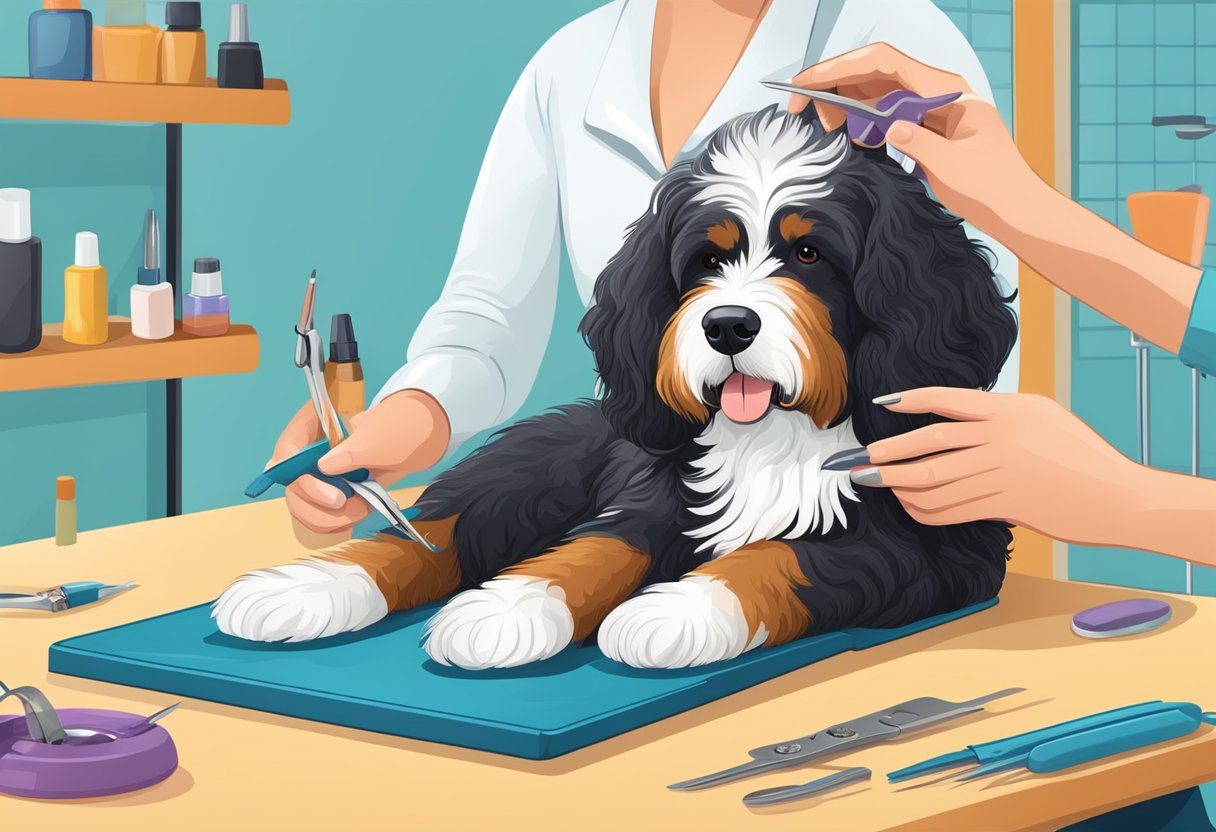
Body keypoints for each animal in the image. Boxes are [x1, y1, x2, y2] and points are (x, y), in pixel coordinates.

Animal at [216, 107, 1016, 671]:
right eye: (707, 260)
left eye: (812, 253)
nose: (727, 326)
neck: (776, 436)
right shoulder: (652, 493)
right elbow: (596, 547)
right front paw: (509, 607)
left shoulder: (932, 541)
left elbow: (784, 555)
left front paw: (678, 612)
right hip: (530, 470)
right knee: (432, 531)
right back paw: (299, 590)